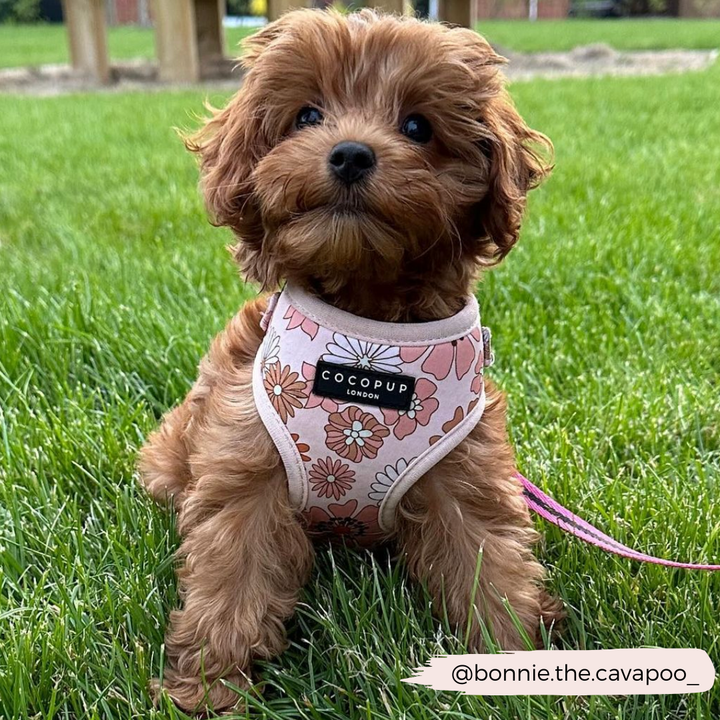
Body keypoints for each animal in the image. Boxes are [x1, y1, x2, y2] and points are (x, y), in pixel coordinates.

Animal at [139, 8, 564, 712]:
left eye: (418, 126)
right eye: (307, 115)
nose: (351, 153)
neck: (369, 338)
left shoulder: (462, 466)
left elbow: (490, 564)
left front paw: (523, 670)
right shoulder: (245, 465)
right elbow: (232, 579)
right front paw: (208, 690)